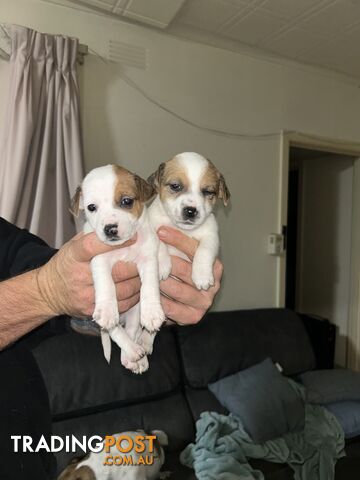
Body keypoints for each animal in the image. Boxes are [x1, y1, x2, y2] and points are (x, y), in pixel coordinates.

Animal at [147, 152, 229, 290]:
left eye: (208, 191)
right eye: (175, 186)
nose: (190, 211)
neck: (183, 230)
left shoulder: (211, 236)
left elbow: (204, 250)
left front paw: (202, 275)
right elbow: (158, 244)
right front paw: (161, 265)